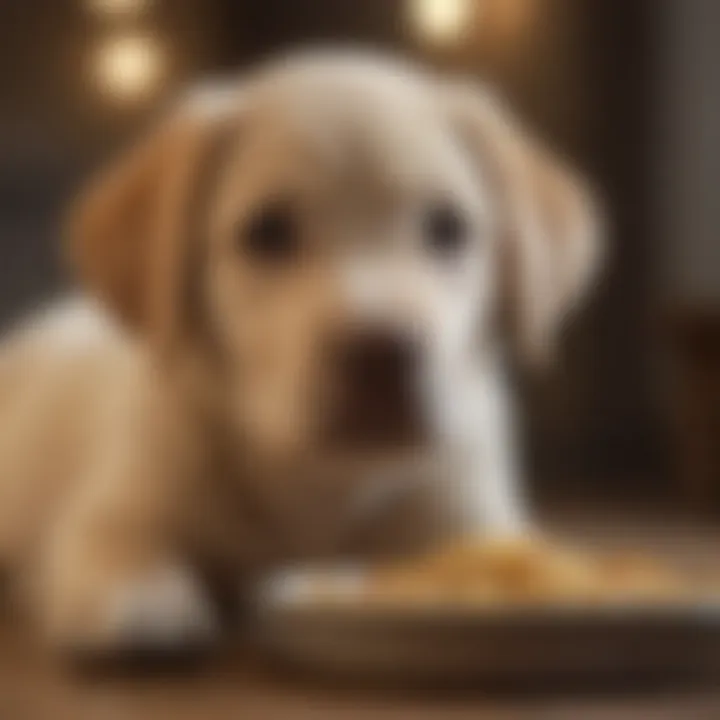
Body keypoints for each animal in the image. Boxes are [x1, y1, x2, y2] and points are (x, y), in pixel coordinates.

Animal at [0, 52, 600, 652]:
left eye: (448, 228)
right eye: (267, 232)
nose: (380, 354)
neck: (322, 479)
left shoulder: (470, 515)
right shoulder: (113, 506)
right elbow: (119, 546)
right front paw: (146, 599)